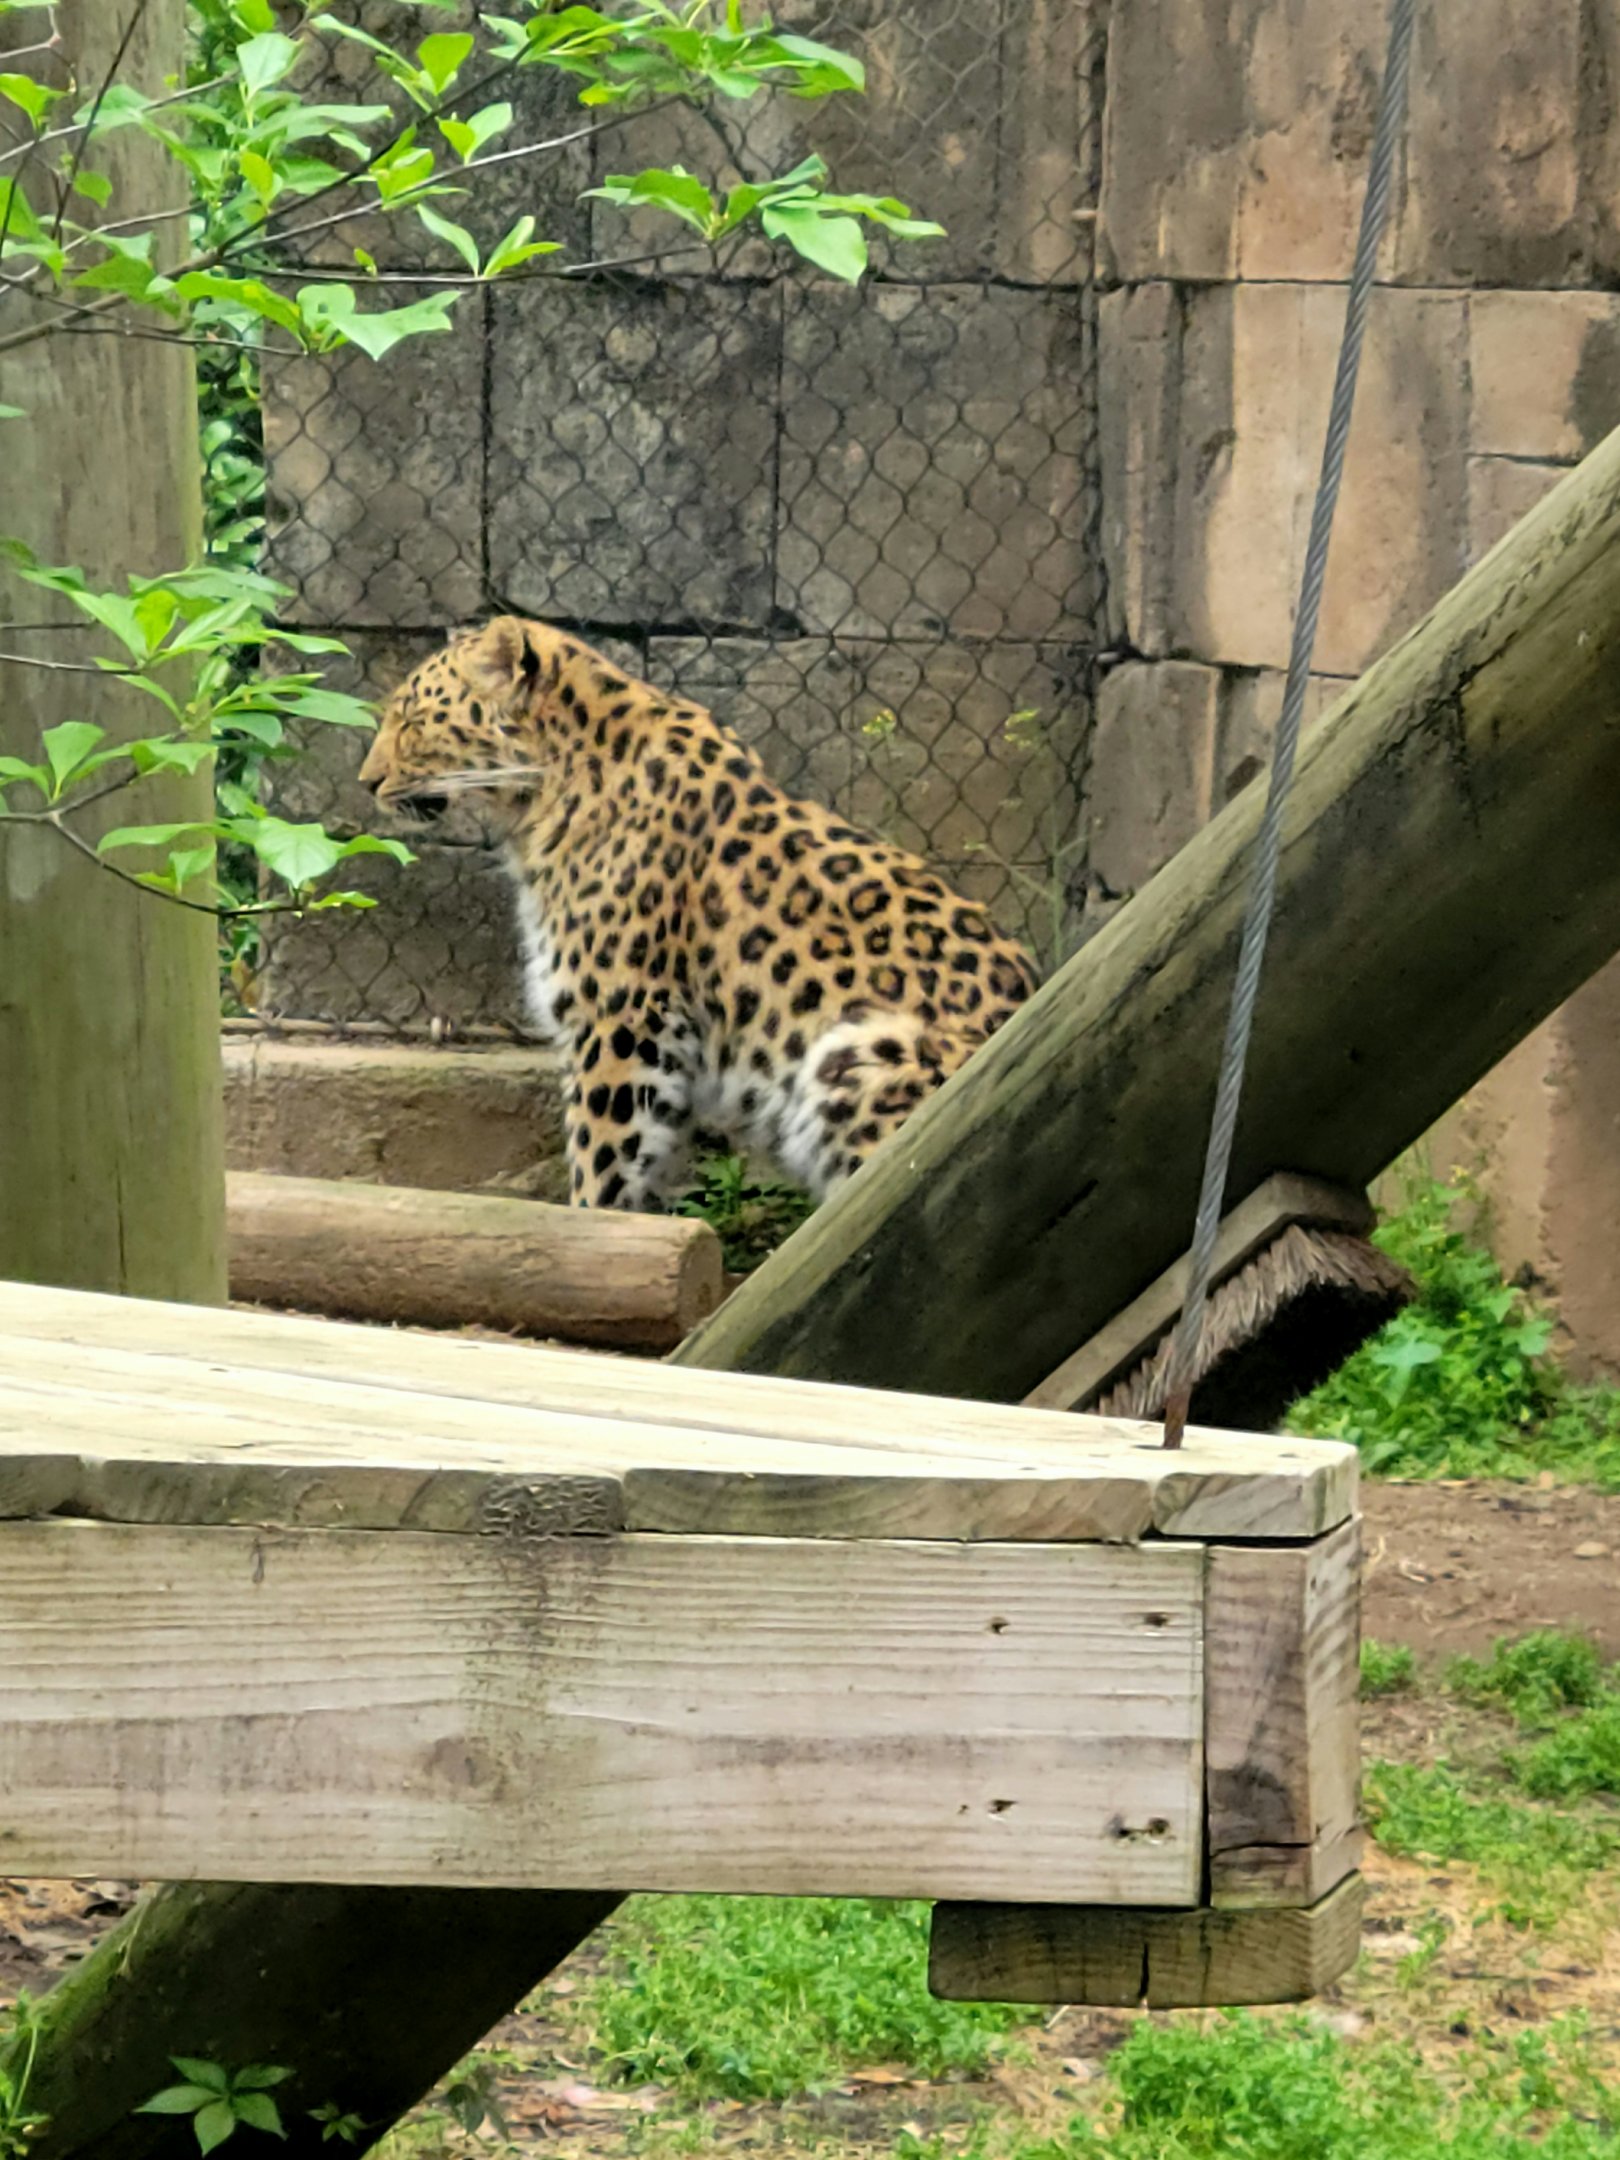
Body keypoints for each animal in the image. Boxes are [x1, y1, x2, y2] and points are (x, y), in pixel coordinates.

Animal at [358, 616, 1041, 1212]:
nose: (366, 782)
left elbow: (599, 1161)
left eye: (413, 720)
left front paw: (586, 1225)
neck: (545, 796)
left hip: (860, 1050)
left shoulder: (621, 1017)